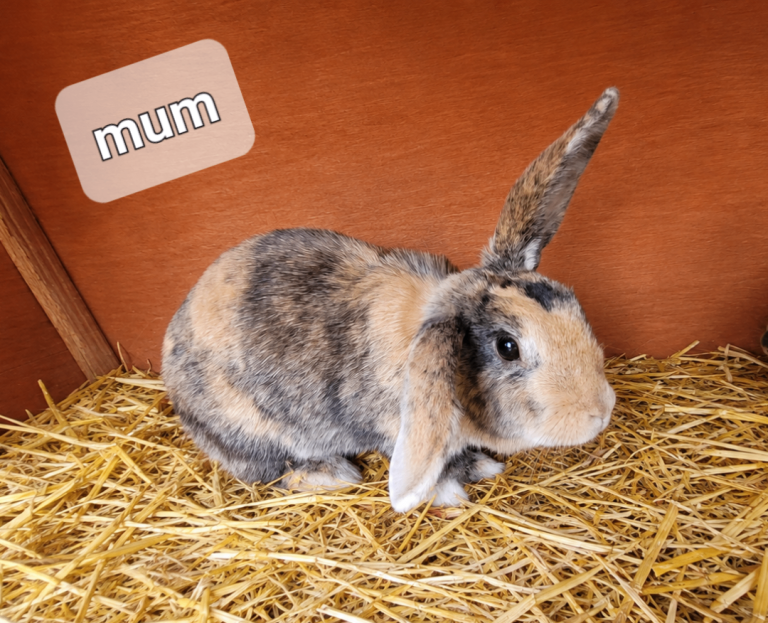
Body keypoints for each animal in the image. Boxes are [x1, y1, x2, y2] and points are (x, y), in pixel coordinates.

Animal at [162, 88, 619, 513]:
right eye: (507, 347)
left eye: (572, 302)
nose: (599, 413)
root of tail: (173, 339)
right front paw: (452, 490)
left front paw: (482, 467)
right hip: (251, 432)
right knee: (266, 471)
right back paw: (333, 475)